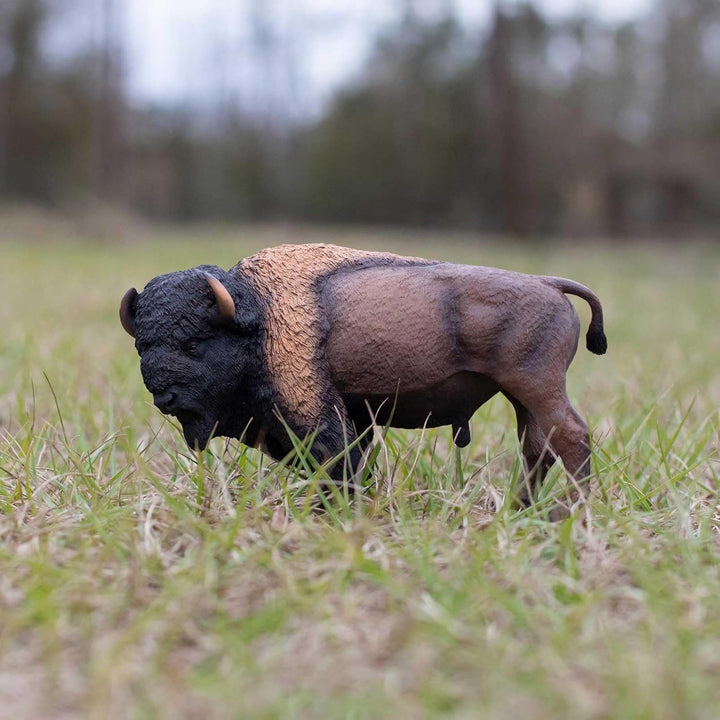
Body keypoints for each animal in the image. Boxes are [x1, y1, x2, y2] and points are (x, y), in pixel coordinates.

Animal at [120, 243, 607, 510]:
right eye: (142, 346)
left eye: (194, 345)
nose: (164, 397)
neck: (257, 314)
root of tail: (548, 283)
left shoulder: (316, 415)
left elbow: (338, 462)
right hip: (521, 397)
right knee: (538, 447)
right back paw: (521, 509)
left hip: (537, 388)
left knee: (572, 437)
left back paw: (566, 513)